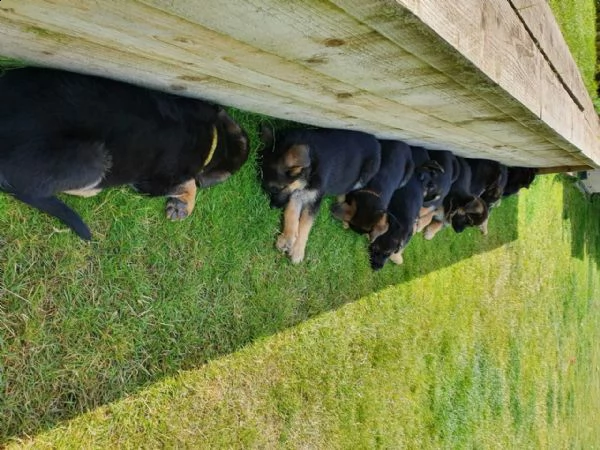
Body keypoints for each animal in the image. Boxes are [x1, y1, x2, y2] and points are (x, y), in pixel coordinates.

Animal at [0, 66, 248, 239]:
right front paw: (183, 206)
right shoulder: (153, 184)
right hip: (93, 158)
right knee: (35, 189)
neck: (214, 139)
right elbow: (190, 185)